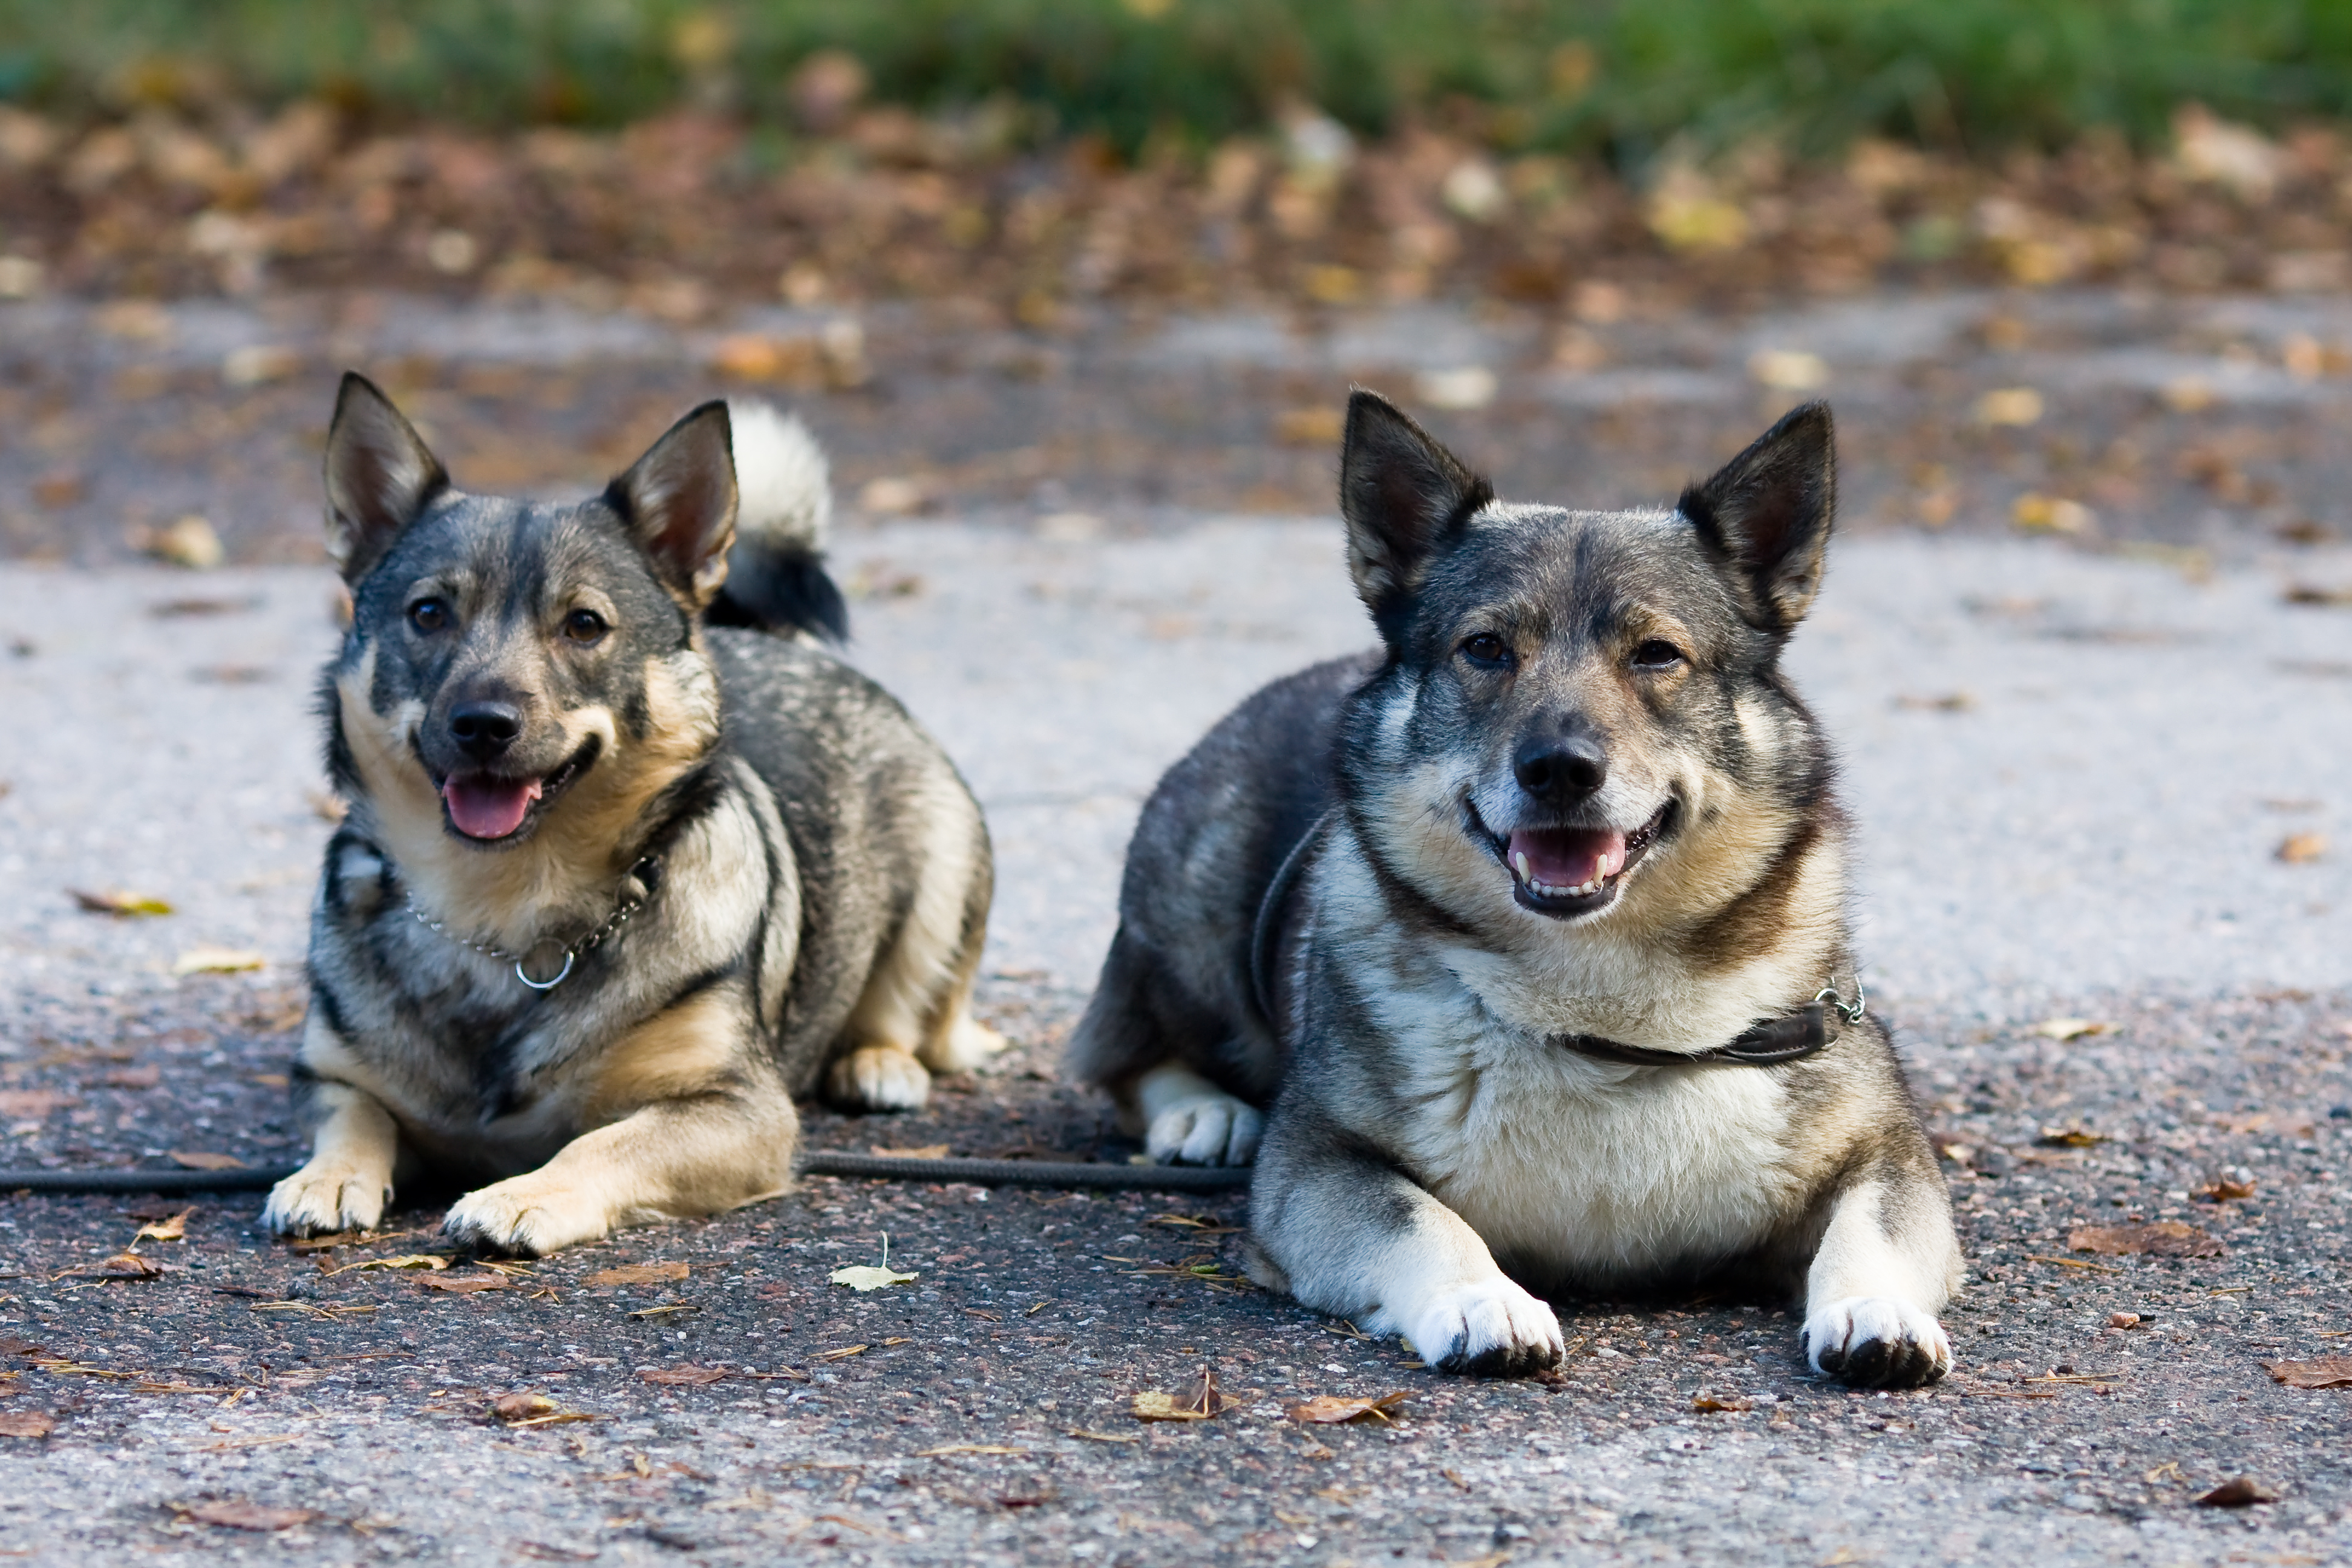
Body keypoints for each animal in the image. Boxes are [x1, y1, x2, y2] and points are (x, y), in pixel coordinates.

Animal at [267, 373, 1002, 1259]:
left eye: (584, 625)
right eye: (429, 613)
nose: (483, 724)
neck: (504, 912)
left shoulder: (741, 1109)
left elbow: (602, 1142)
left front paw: (523, 1195)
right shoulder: (332, 1076)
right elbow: (356, 1115)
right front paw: (326, 1176)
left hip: (941, 889)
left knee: (917, 1012)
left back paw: (878, 1063)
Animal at [1077, 392, 1956, 1382]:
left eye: (1657, 654)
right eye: (1487, 648)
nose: (1560, 769)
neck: (1606, 1019)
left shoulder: (1890, 1155)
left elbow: (1872, 1226)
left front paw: (1876, 1308)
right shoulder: (1315, 1164)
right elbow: (1419, 1220)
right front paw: (1481, 1300)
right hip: (1194, 925)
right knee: (1127, 1053)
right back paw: (1203, 1115)